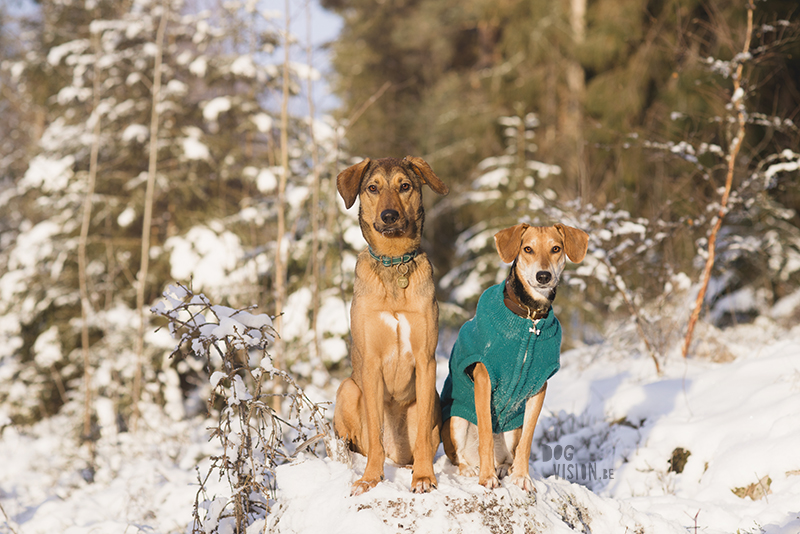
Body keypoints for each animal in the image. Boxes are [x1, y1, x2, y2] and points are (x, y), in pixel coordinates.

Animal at [332, 157, 450, 496]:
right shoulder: (371, 364)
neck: (395, 262)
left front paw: (423, 477)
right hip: (348, 388)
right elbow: (374, 433)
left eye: (405, 186)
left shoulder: (426, 361)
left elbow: (422, 435)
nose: (389, 216)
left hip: (434, 398)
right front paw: (370, 478)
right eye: (373, 188)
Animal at [438, 223, 588, 494]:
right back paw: (472, 469)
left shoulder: (539, 387)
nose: (543, 276)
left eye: (556, 248)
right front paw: (486, 478)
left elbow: (527, 441)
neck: (530, 317)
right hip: (456, 420)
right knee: (458, 456)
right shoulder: (484, 379)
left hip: (511, 431)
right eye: (527, 249)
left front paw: (522, 477)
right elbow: (486, 434)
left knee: (509, 454)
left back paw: (504, 468)